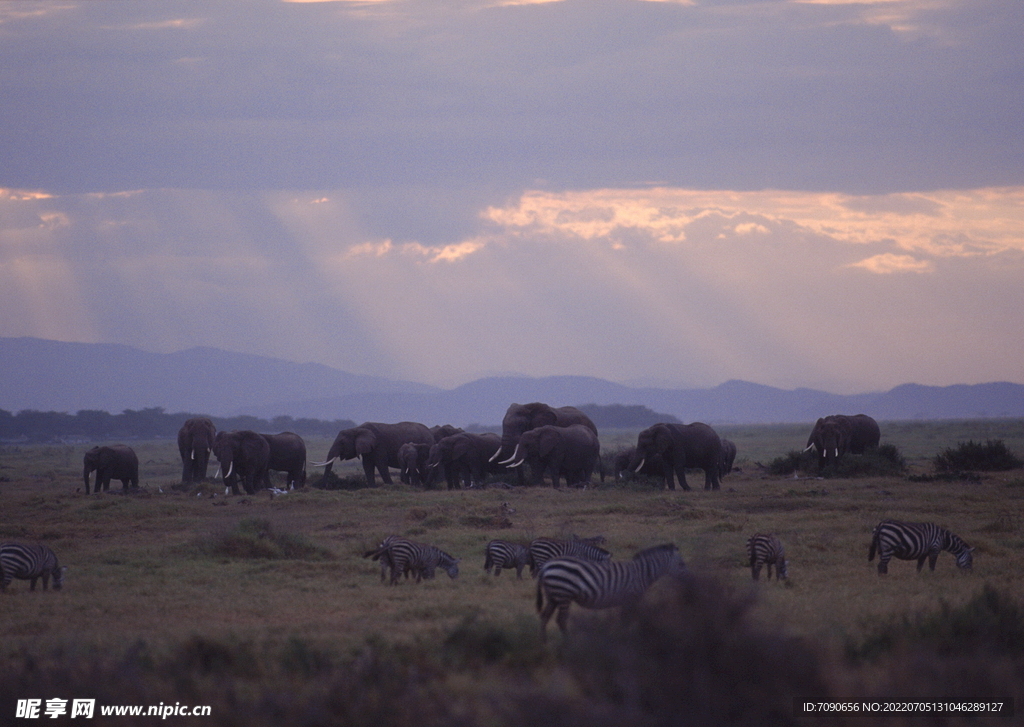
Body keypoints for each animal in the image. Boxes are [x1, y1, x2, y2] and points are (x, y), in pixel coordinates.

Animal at [536, 548, 688, 643]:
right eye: (681, 564)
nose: (689, 580)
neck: (643, 573)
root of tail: (546, 566)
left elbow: (625, 619)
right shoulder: (632, 597)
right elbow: (628, 619)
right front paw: (626, 637)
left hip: (553, 596)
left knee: (544, 617)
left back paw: (544, 643)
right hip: (564, 594)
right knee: (561, 620)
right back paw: (568, 643)